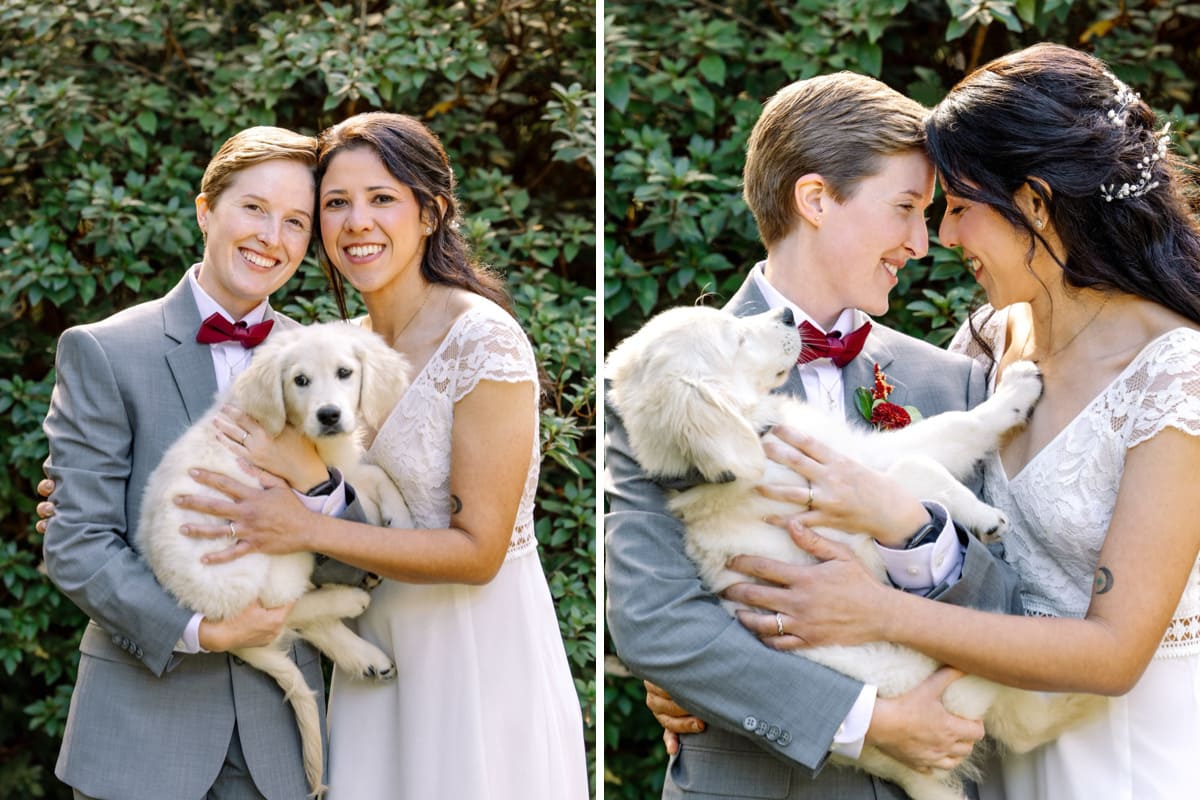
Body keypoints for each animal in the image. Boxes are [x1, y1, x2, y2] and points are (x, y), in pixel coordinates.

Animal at [137, 321, 412, 796]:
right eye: (300, 381)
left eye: (345, 372)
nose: (329, 416)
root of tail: (202, 612)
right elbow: (370, 474)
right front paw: (405, 516)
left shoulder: (335, 466)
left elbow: (369, 474)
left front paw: (397, 511)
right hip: (278, 555)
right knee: (284, 611)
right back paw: (349, 603)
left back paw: (365, 656)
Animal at [604, 304, 1099, 800]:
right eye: (736, 339)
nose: (787, 315)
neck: (758, 438)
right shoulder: (852, 542)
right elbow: (912, 468)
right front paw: (984, 516)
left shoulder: (858, 454)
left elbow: (951, 429)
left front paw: (1016, 390)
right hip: (951, 668)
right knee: (1025, 720)